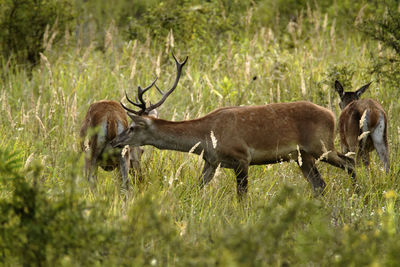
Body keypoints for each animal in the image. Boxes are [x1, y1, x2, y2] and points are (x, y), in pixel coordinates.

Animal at [110, 54, 356, 199]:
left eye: (132, 127)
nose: (114, 141)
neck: (205, 136)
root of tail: (331, 114)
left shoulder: (242, 158)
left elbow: (242, 197)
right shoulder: (211, 162)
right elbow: (196, 188)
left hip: (320, 145)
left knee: (349, 163)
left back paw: (358, 193)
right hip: (303, 156)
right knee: (319, 184)